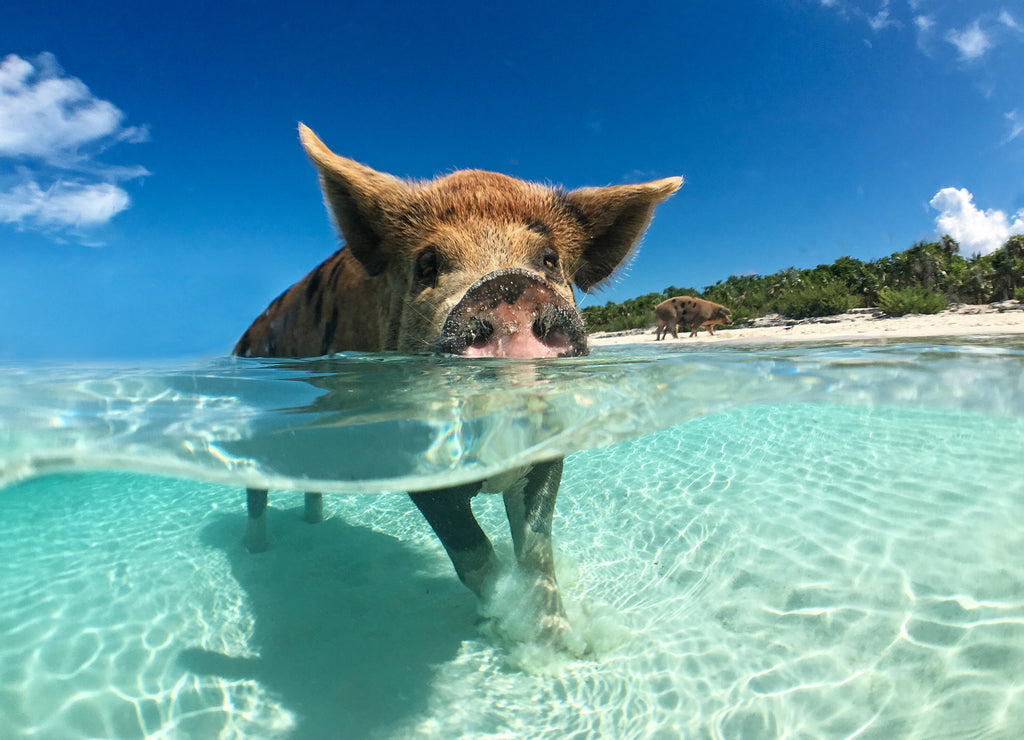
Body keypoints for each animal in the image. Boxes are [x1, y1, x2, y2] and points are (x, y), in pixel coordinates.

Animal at [234, 124, 682, 640]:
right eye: (427, 264)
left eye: (549, 259)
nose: (508, 286)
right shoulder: (412, 456)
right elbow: (473, 556)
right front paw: (506, 629)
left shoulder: (549, 448)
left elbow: (537, 551)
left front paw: (562, 642)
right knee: (255, 492)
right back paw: (256, 551)